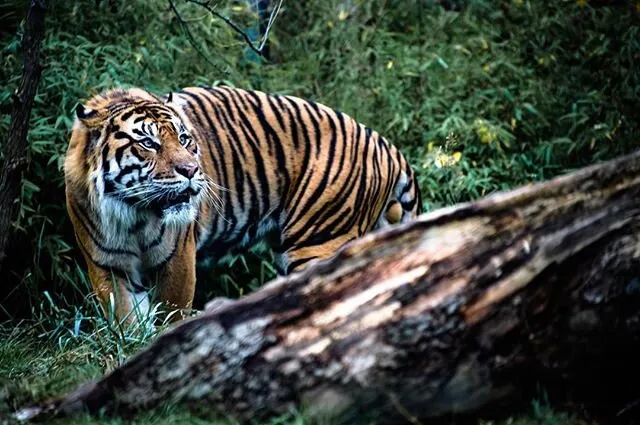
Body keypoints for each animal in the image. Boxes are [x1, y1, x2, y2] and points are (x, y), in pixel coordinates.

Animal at [64, 86, 422, 324]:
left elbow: (172, 312)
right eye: (148, 143)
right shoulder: (108, 265)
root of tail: (383, 143)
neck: (133, 214)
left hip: (318, 241)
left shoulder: (178, 258)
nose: (191, 170)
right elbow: (126, 320)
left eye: (184, 139)